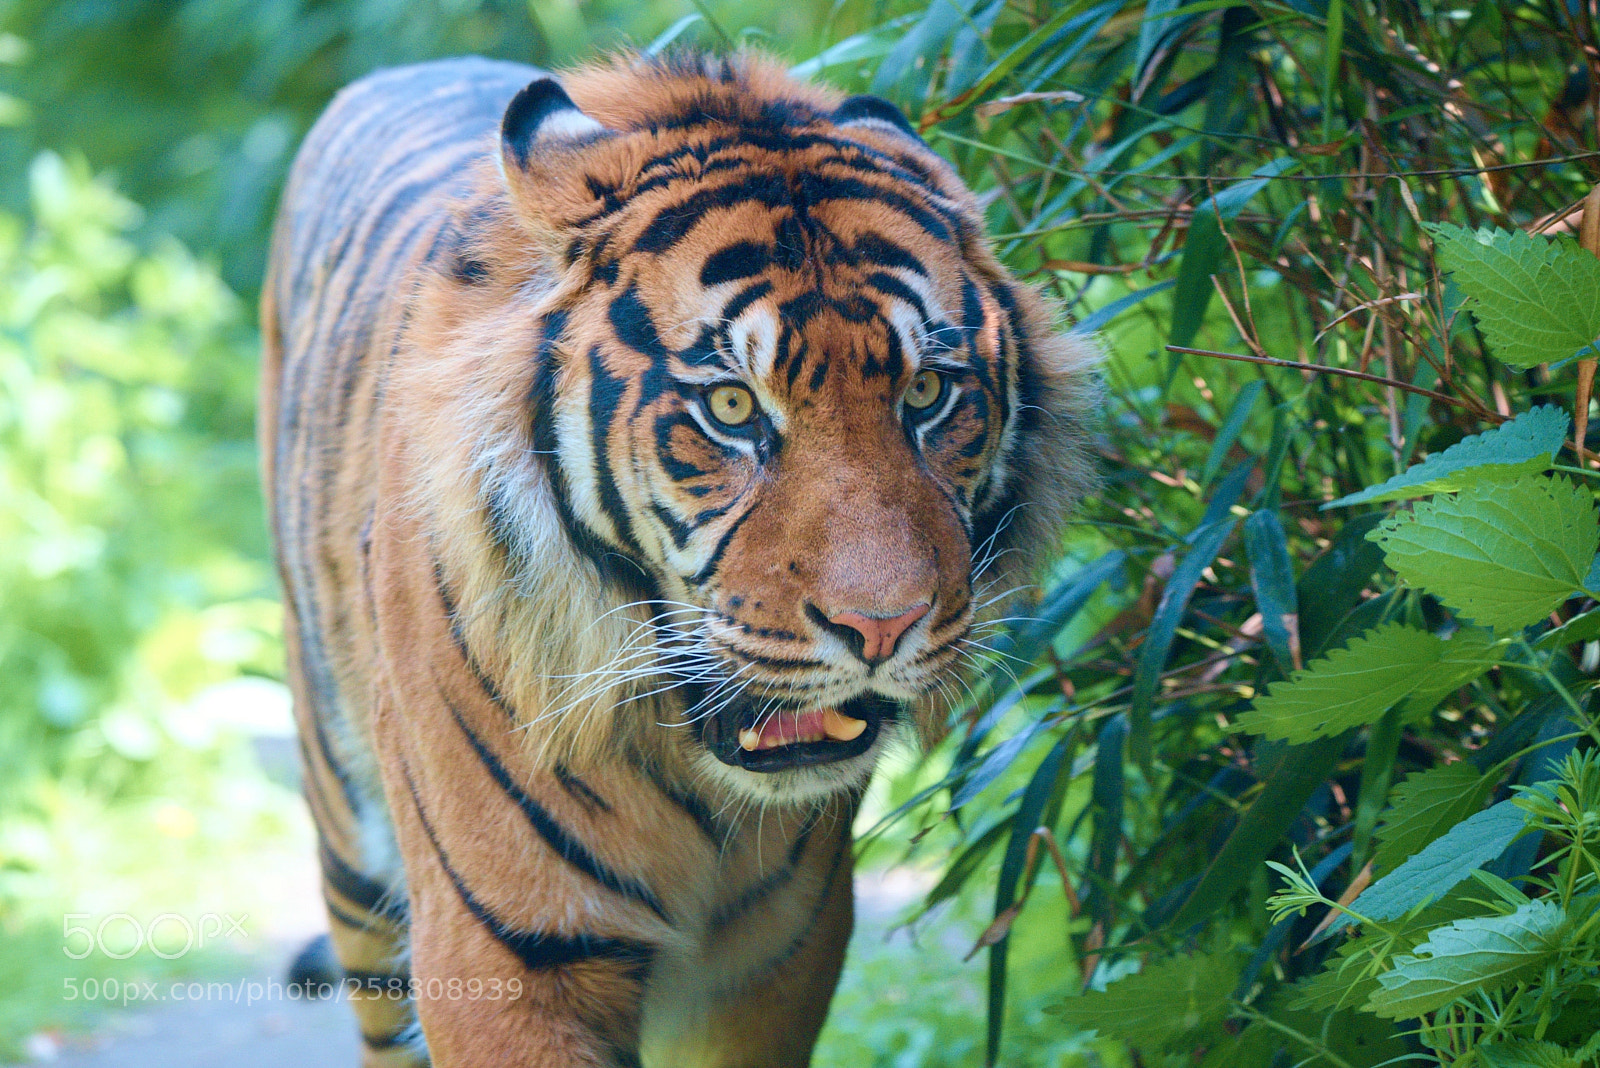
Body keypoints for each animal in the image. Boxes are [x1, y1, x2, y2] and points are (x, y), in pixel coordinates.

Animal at [259, 49, 1097, 1068]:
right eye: (731, 409)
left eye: (929, 393)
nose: (882, 627)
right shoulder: (508, 959)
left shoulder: (781, 955)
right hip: (354, 864)